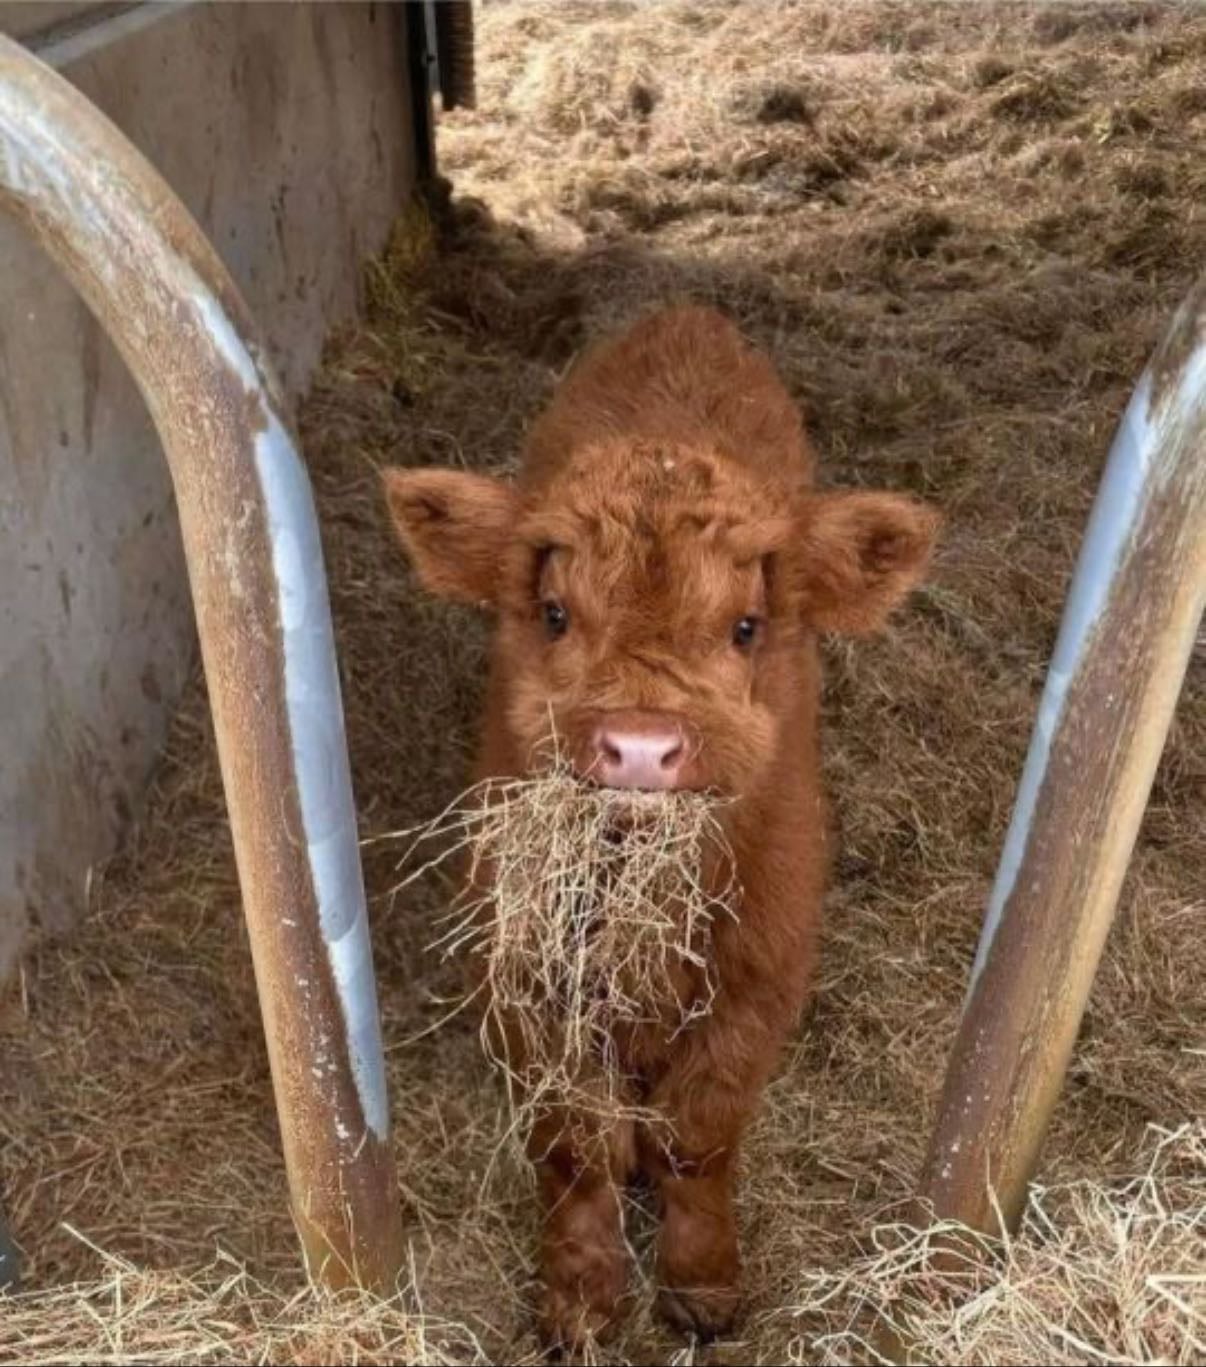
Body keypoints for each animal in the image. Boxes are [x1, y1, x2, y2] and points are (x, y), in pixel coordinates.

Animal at [383, 305, 938, 1348]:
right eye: (556, 613)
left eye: (746, 628)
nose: (640, 746)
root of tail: (684, 315)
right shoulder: (526, 974)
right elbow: (574, 1142)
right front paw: (579, 1299)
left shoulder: (762, 967)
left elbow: (698, 1134)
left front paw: (704, 1286)